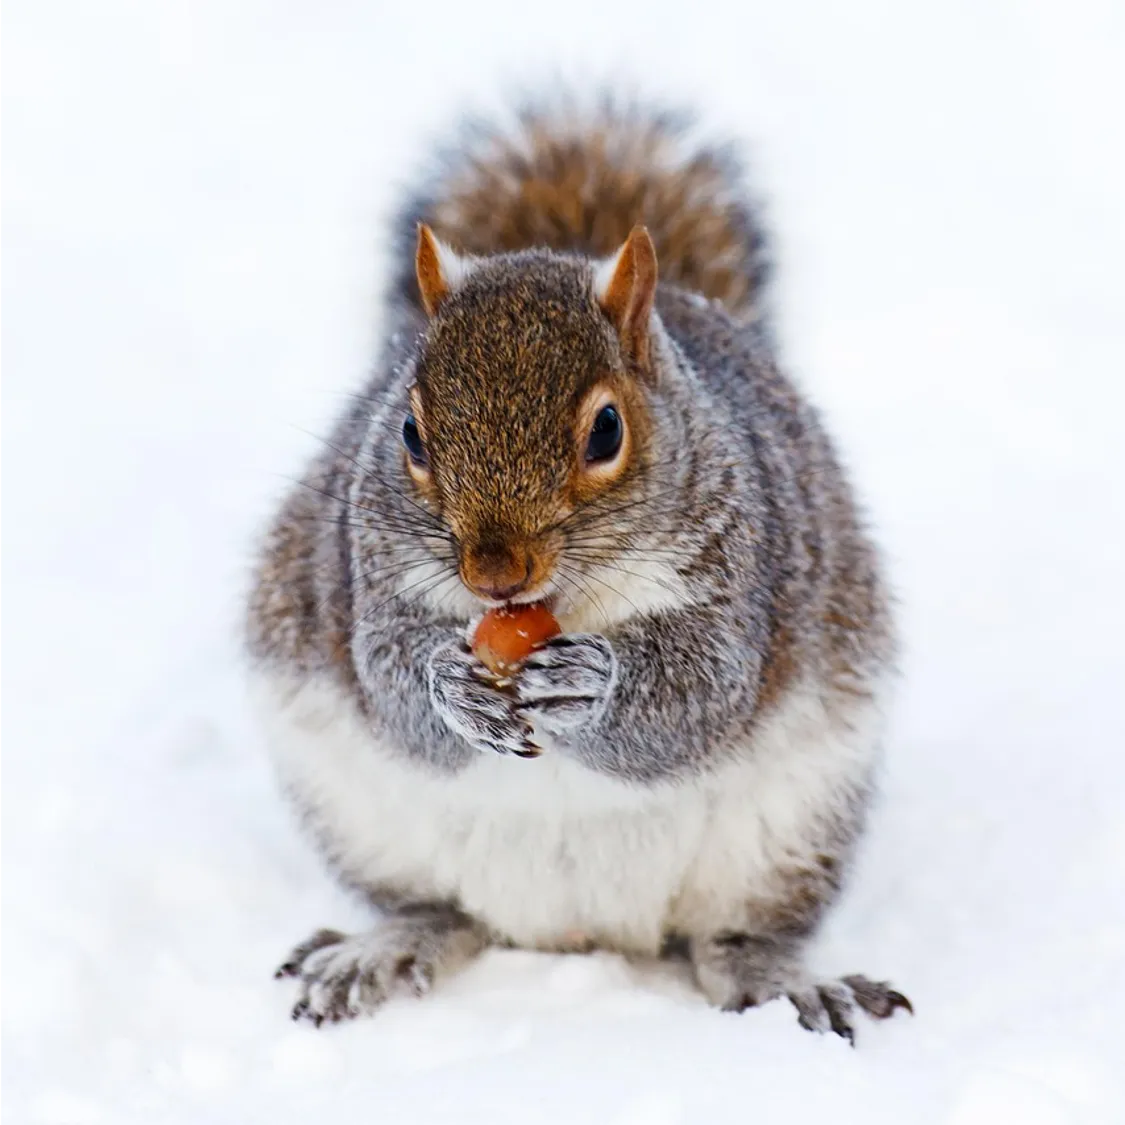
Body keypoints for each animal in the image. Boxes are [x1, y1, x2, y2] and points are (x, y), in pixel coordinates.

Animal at [246, 95, 911, 1041]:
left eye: (606, 430)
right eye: (409, 431)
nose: (494, 572)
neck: (559, 602)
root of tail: (576, 931)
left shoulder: (745, 571)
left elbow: (702, 694)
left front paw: (590, 684)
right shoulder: (363, 568)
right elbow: (386, 678)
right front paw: (448, 683)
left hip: (789, 831)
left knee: (733, 937)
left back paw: (785, 980)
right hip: (358, 815)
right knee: (438, 910)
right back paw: (382, 948)